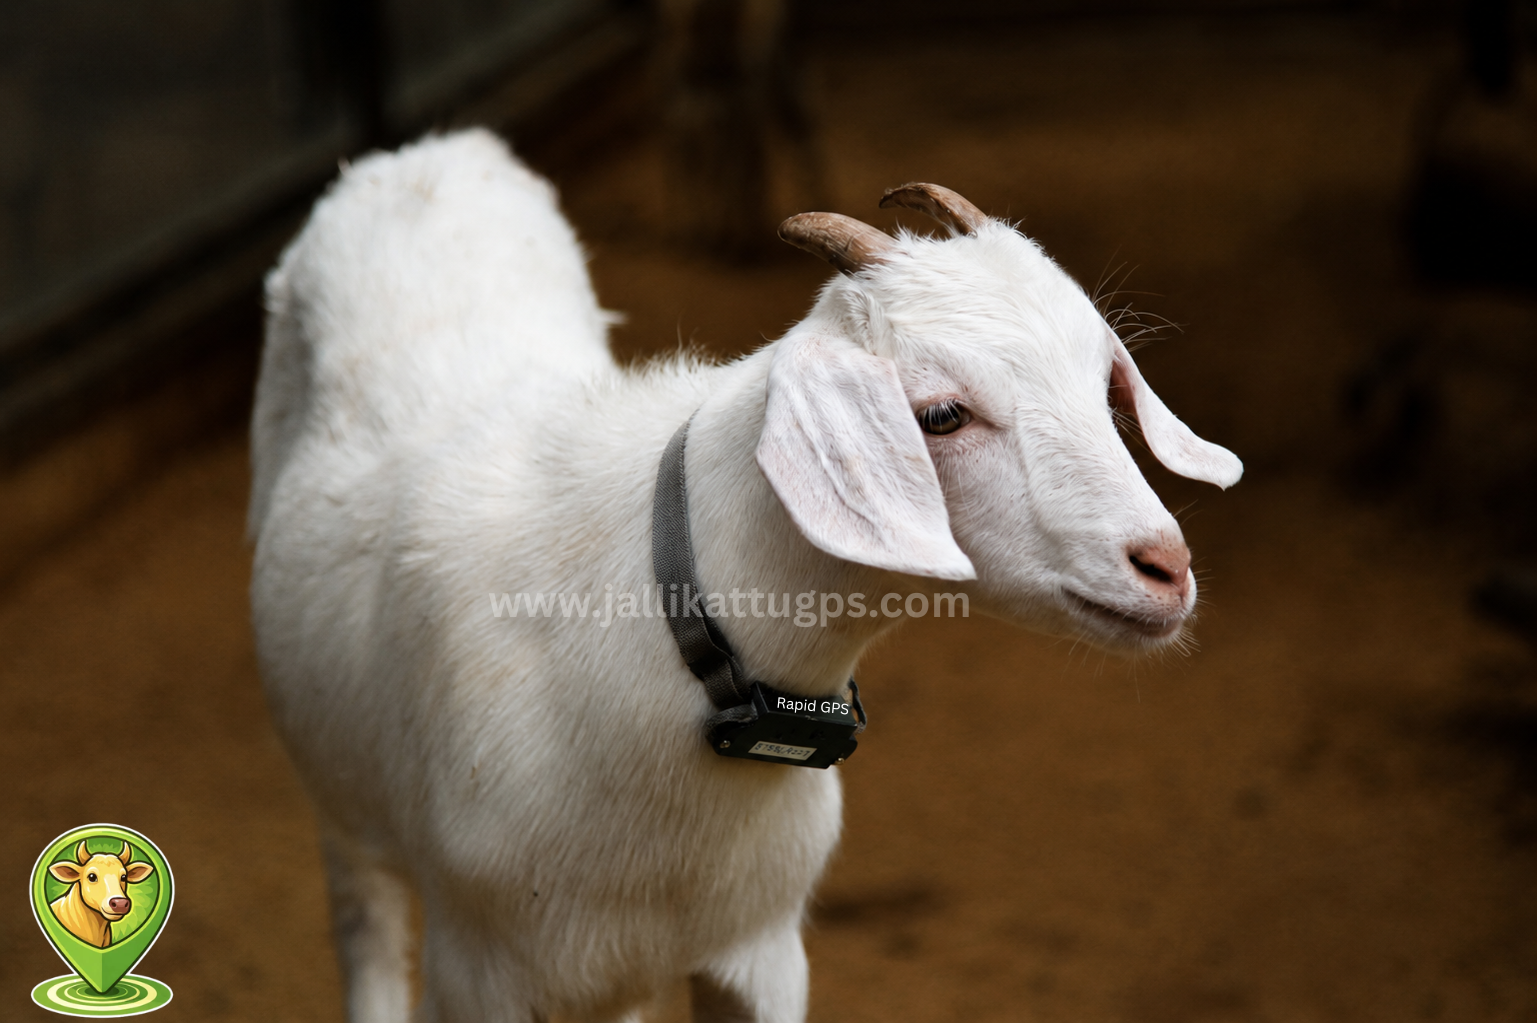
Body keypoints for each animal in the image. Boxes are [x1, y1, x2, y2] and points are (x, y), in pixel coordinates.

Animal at [249, 129, 1240, 1023]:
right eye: (941, 414)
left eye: (1103, 381)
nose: (1164, 567)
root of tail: (423, 153)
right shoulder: (482, 971)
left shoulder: (758, 950)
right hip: (342, 812)